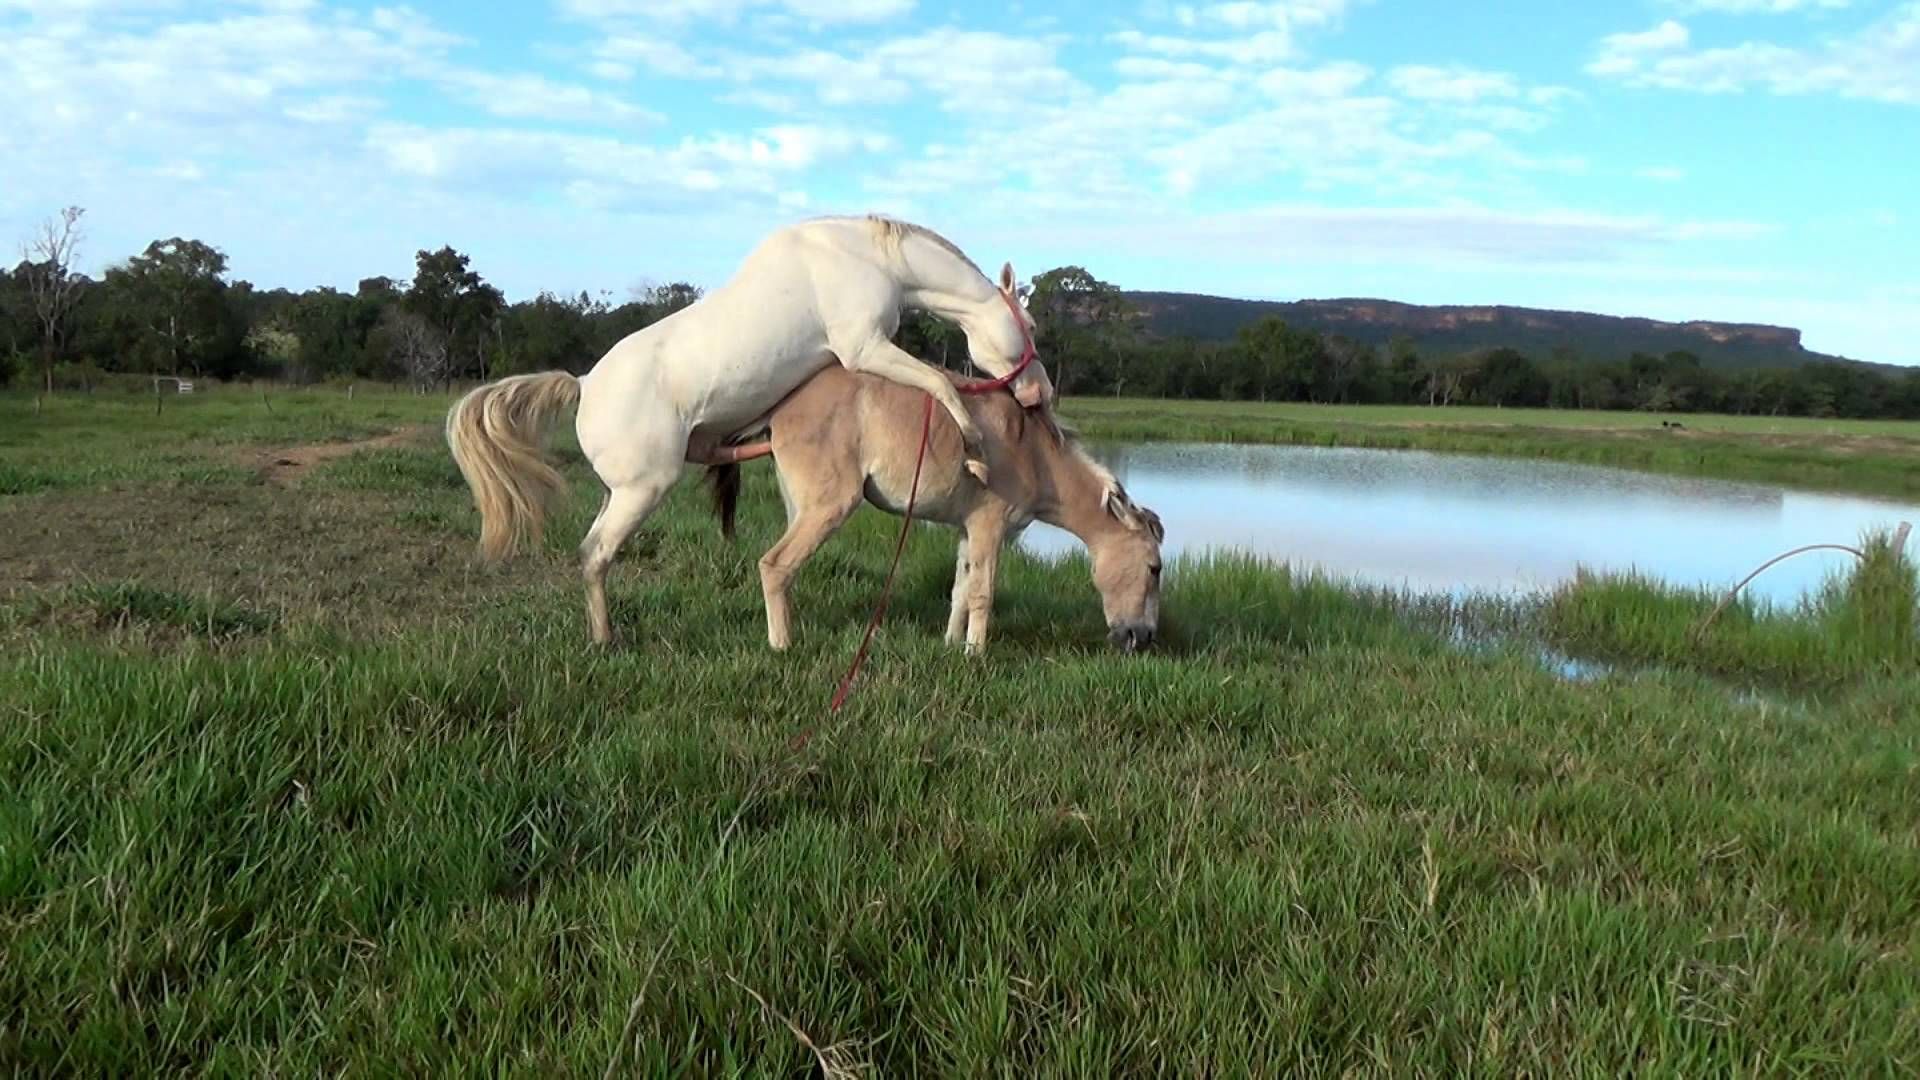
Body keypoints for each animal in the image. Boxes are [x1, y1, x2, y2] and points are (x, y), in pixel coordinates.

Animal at [443, 214, 1059, 641]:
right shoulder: (864, 348)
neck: (866, 257)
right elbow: (942, 385)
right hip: (642, 491)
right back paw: (605, 639)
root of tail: (585, 383)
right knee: (595, 555)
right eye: (1028, 324)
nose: (1042, 395)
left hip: (623, 491)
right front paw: (975, 451)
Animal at [702, 363, 1159, 645]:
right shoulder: (990, 528)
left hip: (799, 509)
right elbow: (982, 593)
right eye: (1155, 567)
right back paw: (782, 644)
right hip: (828, 508)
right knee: (775, 565)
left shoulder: (967, 530)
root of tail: (780, 407)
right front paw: (975, 653)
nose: (1143, 636)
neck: (1033, 451)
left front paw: (951, 643)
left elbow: (960, 589)